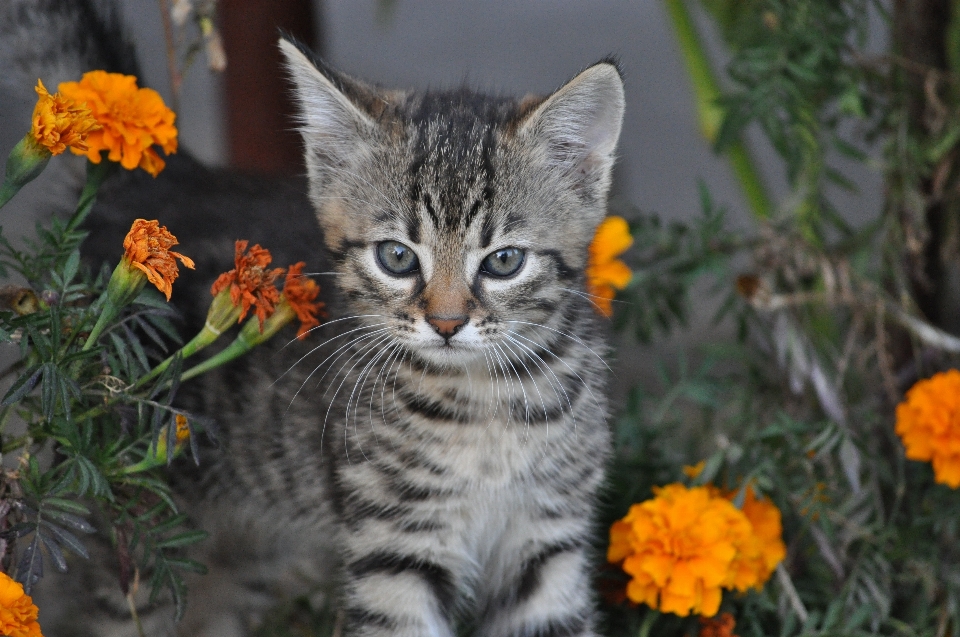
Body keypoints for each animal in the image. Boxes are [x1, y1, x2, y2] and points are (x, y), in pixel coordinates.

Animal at [5, 2, 632, 632]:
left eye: (504, 261)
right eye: (397, 257)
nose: (447, 324)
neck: (486, 406)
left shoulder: (549, 540)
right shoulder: (395, 547)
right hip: (130, 536)